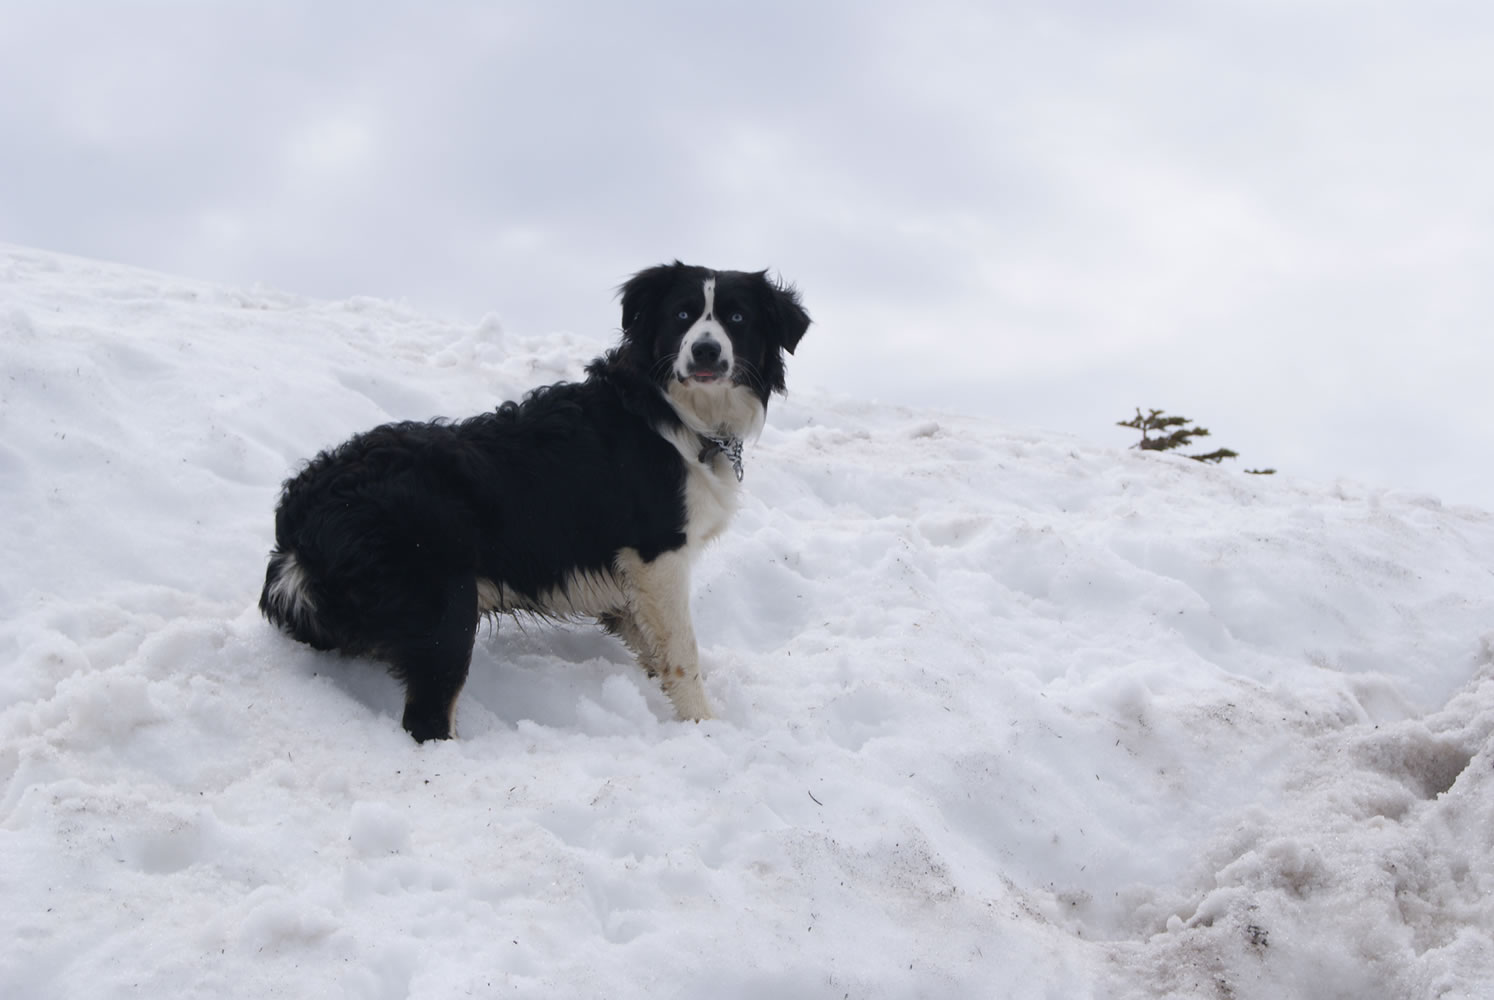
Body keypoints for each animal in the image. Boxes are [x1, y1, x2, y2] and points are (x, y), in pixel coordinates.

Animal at [262, 264, 812, 741]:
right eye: (682, 314)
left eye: (736, 319)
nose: (704, 351)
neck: (671, 412)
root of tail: (298, 522)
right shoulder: (658, 555)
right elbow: (682, 653)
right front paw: (705, 727)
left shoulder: (628, 583)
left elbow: (651, 646)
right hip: (445, 607)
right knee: (426, 721)